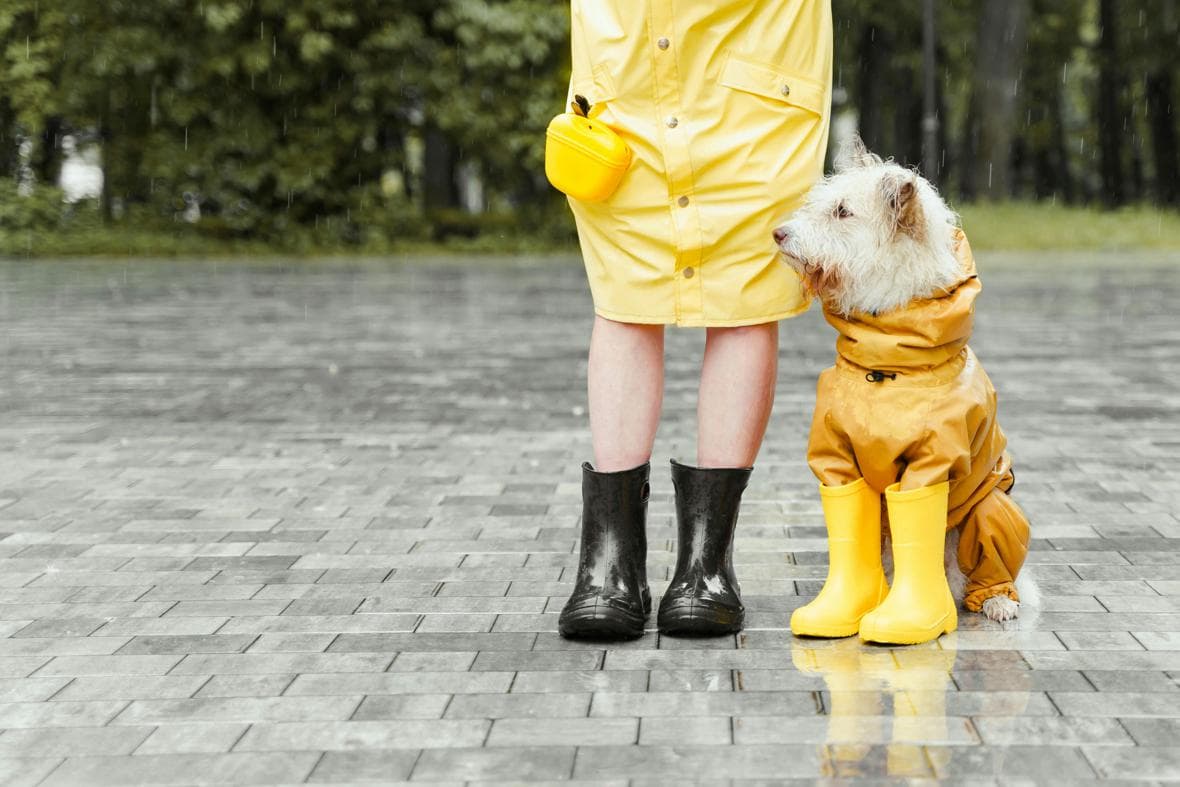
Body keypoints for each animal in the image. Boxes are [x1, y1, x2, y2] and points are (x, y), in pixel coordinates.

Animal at [774, 138, 1033, 622]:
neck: (887, 359)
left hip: (990, 505)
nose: (778, 234)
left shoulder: (933, 461)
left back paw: (992, 599)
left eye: (842, 211)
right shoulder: (836, 457)